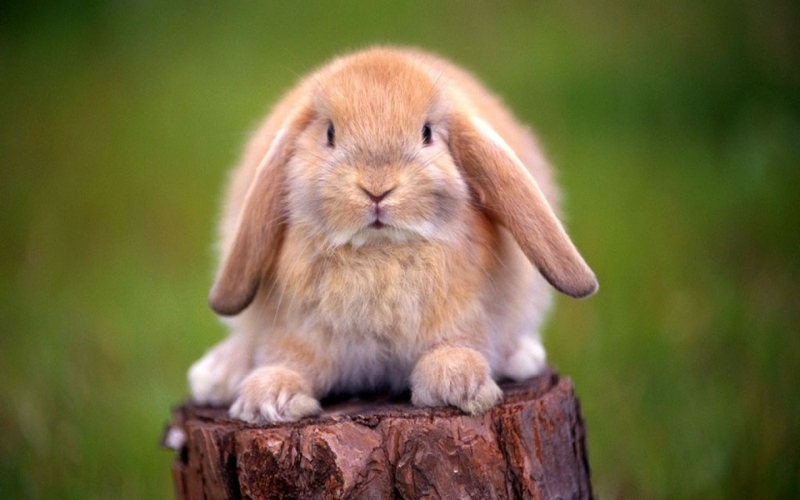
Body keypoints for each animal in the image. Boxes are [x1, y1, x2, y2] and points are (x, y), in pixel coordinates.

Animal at [188, 46, 597, 424]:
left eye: (427, 133)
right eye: (330, 133)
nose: (377, 188)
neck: (380, 252)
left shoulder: (466, 319)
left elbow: (455, 347)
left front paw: (459, 385)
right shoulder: (298, 331)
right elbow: (288, 359)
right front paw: (267, 400)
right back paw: (217, 375)